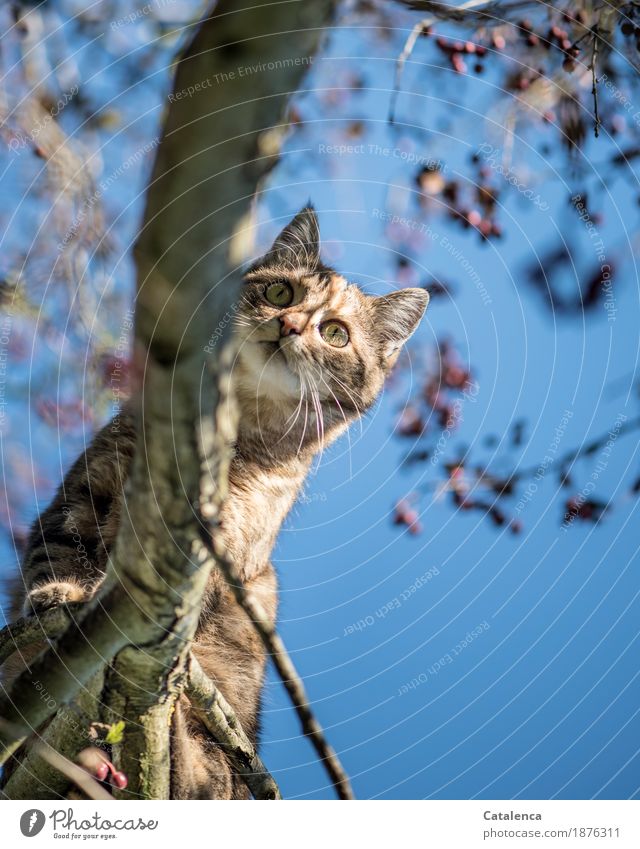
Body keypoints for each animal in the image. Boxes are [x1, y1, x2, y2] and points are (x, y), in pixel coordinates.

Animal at [2, 205, 430, 796]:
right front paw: (58, 596)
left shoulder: (222, 542)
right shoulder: (91, 487)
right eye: (279, 291)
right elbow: (58, 549)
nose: (290, 325)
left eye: (336, 334)